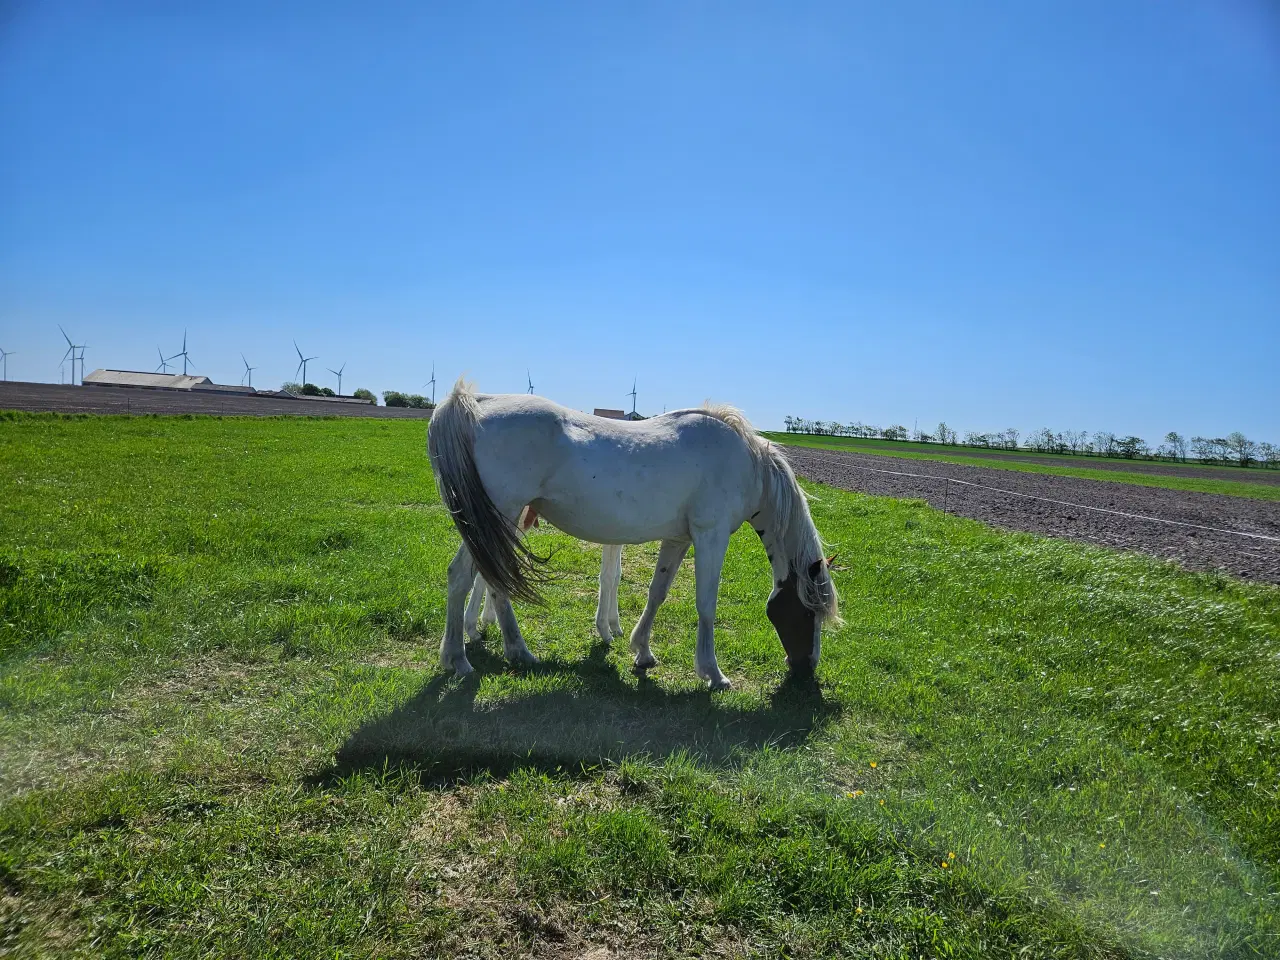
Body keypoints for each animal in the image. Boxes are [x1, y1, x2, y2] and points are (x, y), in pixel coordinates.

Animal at [430, 378, 839, 686]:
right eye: (808, 613)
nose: (806, 667)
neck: (746, 464)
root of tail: (475, 403)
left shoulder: (678, 539)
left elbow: (657, 593)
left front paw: (642, 651)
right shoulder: (711, 535)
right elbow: (705, 603)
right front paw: (712, 672)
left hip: (496, 525)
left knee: (490, 580)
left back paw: (514, 650)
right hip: (501, 515)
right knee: (463, 576)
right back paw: (459, 659)